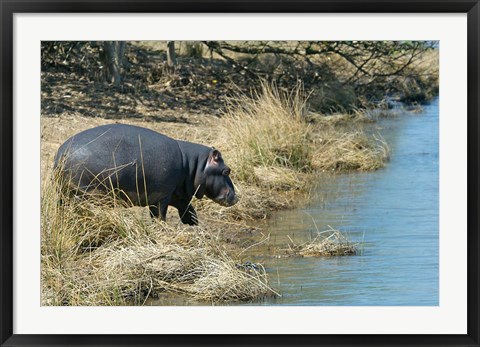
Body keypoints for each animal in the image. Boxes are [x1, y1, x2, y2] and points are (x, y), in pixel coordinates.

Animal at [53, 124, 238, 226]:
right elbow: (160, 214)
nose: (236, 197)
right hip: (84, 192)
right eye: (226, 170)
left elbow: (186, 207)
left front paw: (193, 223)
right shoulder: (163, 196)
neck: (194, 165)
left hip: (64, 193)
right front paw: (163, 227)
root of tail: (61, 153)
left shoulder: (175, 192)